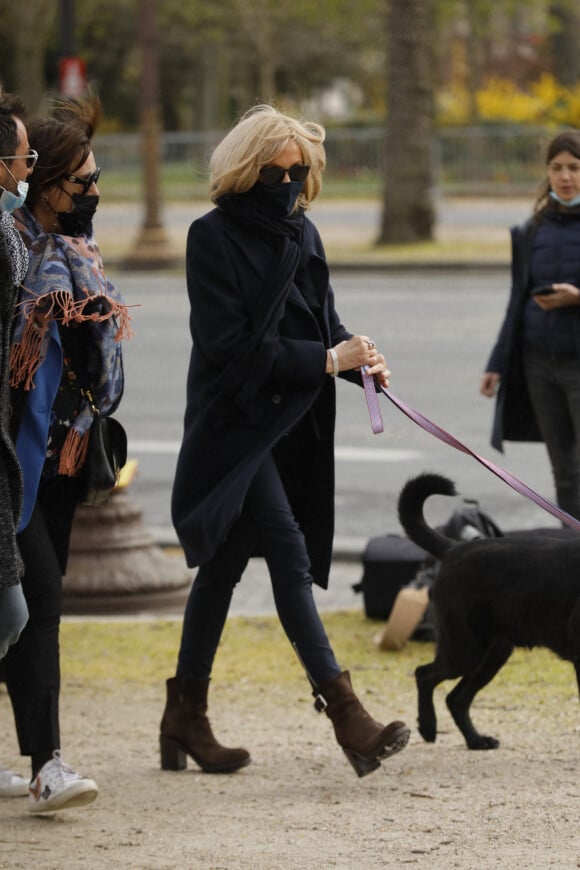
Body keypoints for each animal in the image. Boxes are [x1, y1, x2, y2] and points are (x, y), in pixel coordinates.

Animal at [396, 474, 580, 752]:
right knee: (425, 675)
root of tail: (454, 549)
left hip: (492, 653)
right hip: (465, 649)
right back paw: (428, 727)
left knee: (456, 698)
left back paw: (475, 740)